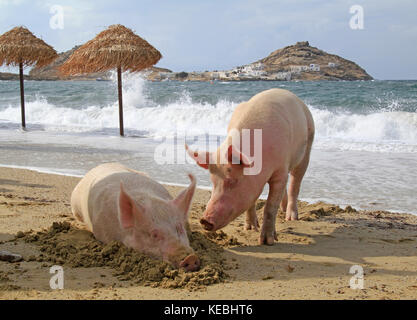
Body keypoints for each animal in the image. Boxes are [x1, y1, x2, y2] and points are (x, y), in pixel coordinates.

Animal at [187, 87, 314, 245]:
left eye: (232, 181)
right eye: (213, 181)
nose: (204, 220)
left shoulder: (280, 169)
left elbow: (270, 206)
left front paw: (267, 241)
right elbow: (251, 201)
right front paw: (250, 228)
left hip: (308, 143)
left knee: (295, 183)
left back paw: (291, 218)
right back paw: (283, 211)